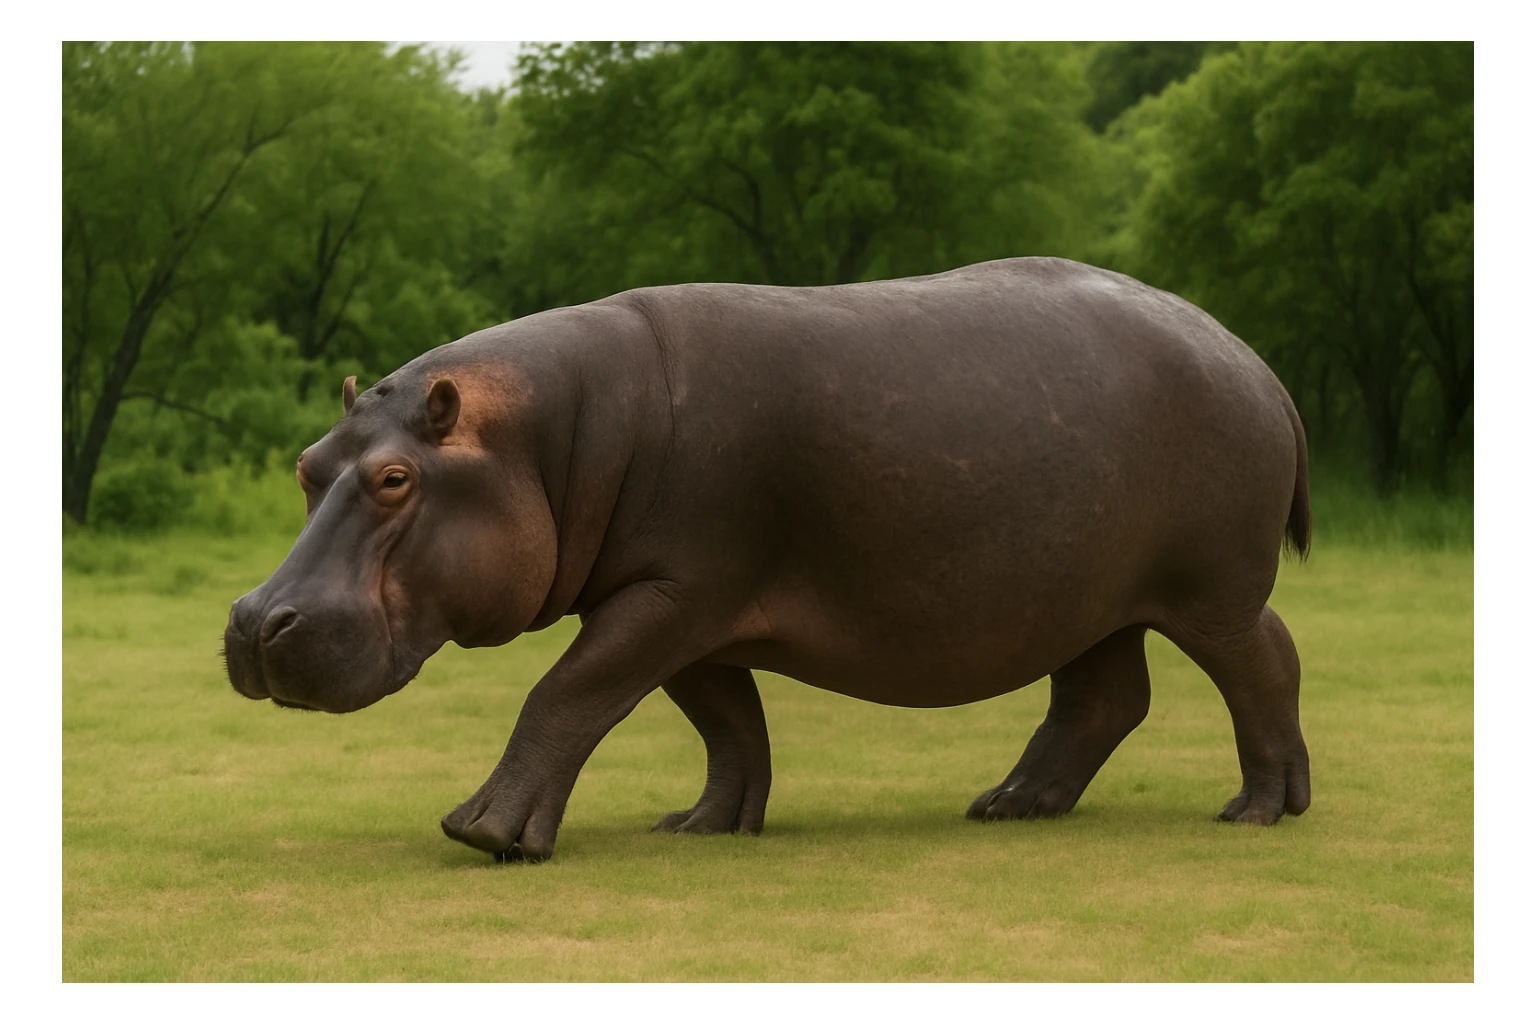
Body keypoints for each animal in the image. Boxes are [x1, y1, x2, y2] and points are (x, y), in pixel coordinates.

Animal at [223, 256, 1312, 862]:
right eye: (308, 464)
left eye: (396, 478)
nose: (254, 621)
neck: (546, 436)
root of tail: (1256, 361)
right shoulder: (686, 608)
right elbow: (726, 724)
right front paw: (701, 826)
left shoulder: (671, 593)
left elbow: (567, 693)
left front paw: (485, 832)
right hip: (1087, 595)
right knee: (1104, 697)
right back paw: (1008, 807)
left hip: (1205, 588)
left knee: (1264, 660)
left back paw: (1257, 811)